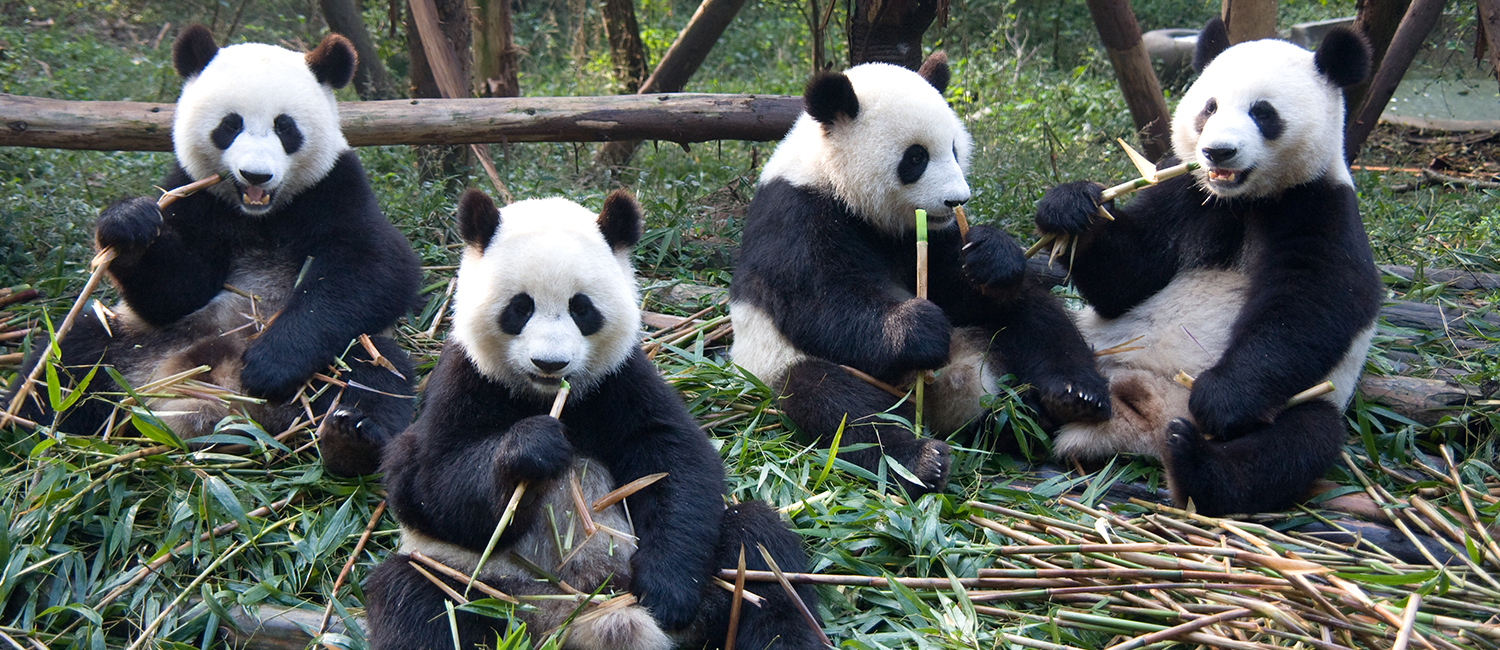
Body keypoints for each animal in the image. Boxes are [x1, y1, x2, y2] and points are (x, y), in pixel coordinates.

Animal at [4, 25, 420, 477]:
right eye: (230, 125)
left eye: (285, 127)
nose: (256, 175)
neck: (259, 215)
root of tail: (220, 410)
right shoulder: (193, 195)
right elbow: (178, 291)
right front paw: (130, 226)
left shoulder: (334, 186)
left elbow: (376, 267)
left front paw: (268, 363)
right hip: (136, 343)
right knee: (67, 363)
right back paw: (23, 431)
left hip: (337, 358)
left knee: (374, 372)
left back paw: (349, 439)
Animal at [365, 189, 822, 650]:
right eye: (519, 308)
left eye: (581, 308)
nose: (550, 363)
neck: (544, 396)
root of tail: (576, 618)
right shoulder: (465, 378)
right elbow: (427, 482)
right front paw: (533, 448)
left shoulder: (618, 378)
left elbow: (673, 457)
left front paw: (667, 590)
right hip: (485, 588)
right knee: (417, 598)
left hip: (716, 579)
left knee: (761, 554)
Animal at [729, 52, 1111, 496]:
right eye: (915, 157)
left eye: (955, 150)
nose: (956, 200)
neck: (833, 178)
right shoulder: (795, 214)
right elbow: (819, 301)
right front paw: (919, 328)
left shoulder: (930, 234)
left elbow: (960, 285)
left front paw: (992, 255)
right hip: (779, 363)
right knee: (835, 402)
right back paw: (921, 459)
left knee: (1034, 316)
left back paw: (1070, 397)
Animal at [1034, 18, 1380, 515]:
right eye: (1209, 107)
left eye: (1263, 113)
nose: (1218, 152)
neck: (1242, 199)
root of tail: (1143, 421)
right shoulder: (1187, 192)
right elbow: (1128, 280)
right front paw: (1072, 207)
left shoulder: (1319, 204)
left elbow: (1313, 303)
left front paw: (1220, 397)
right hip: (1098, 351)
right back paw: (1068, 396)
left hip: (1304, 400)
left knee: (1296, 442)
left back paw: (1192, 460)